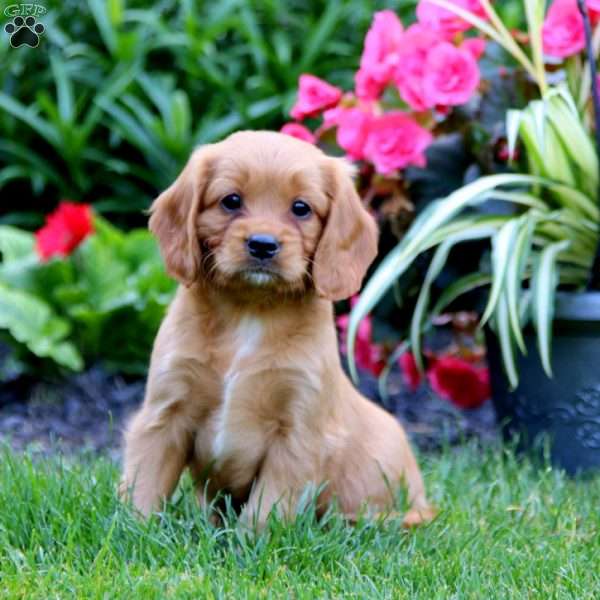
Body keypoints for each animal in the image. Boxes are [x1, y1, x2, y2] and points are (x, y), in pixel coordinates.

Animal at [119, 129, 434, 528]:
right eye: (231, 201)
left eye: (301, 208)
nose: (262, 245)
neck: (251, 311)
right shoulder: (164, 413)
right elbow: (144, 483)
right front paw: (133, 530)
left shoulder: (297, 432)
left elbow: (264, 509)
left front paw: (248, 541)